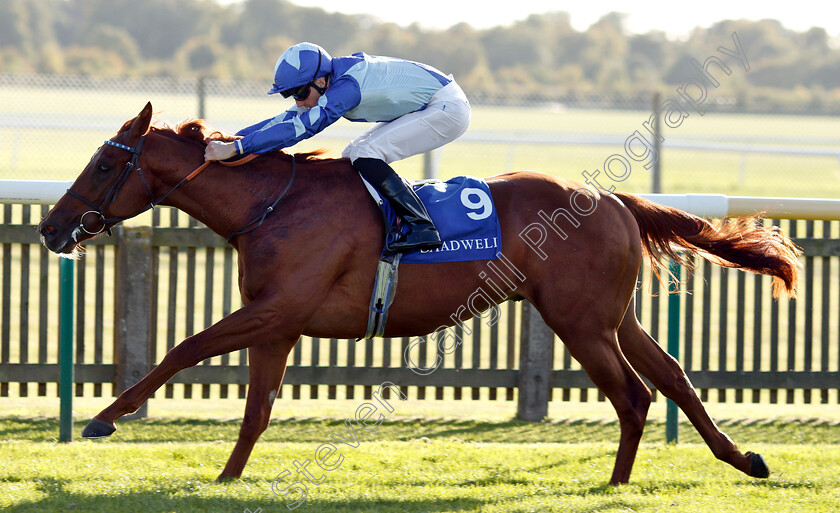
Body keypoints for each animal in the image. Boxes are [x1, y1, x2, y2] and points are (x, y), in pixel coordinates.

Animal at [39, 103, 796, 484]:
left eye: (104, 163)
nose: (50, 228)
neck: (272, 203)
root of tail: (614, 198)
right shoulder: (279, 322)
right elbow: (255, 411)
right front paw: (226, 479)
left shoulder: (275, 309)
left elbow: (185, 347)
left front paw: (104, 418)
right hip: (612, 316)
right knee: (672, 375)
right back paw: (742, 458)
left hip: (579, 321)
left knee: (635, 395)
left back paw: (615, 484)